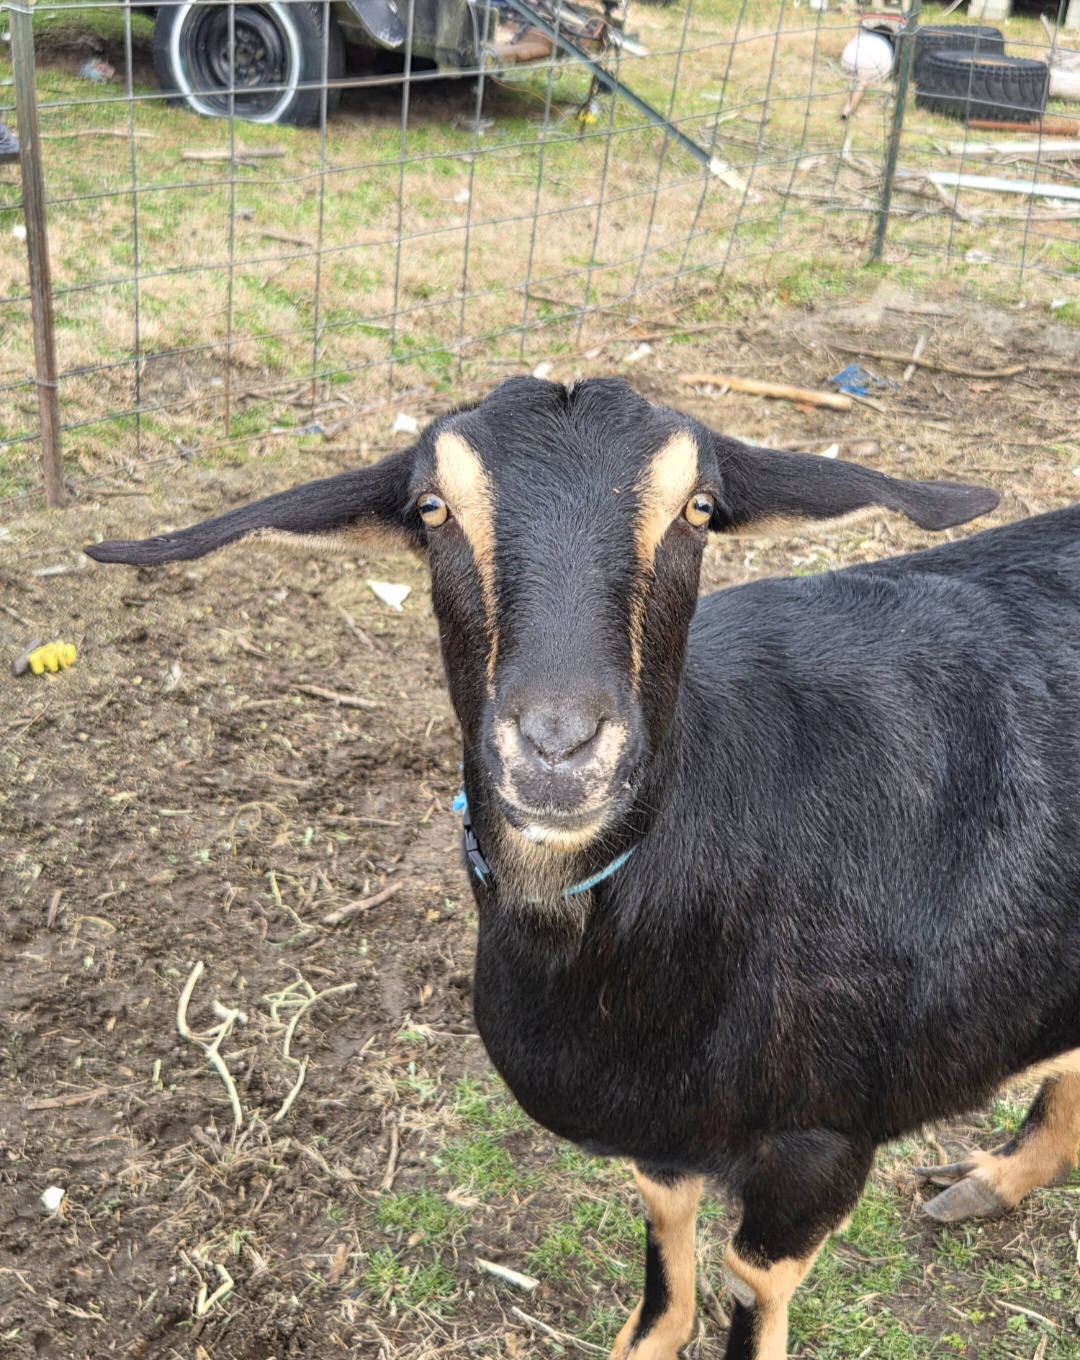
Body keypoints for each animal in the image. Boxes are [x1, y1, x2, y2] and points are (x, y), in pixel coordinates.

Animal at [86, 376, 1080, 1360]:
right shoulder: (661, 1134)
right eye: (432, 509)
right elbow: (664, 1246)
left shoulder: (822, 1142)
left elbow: (751, 1280)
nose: (559, 747)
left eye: (699, 509)